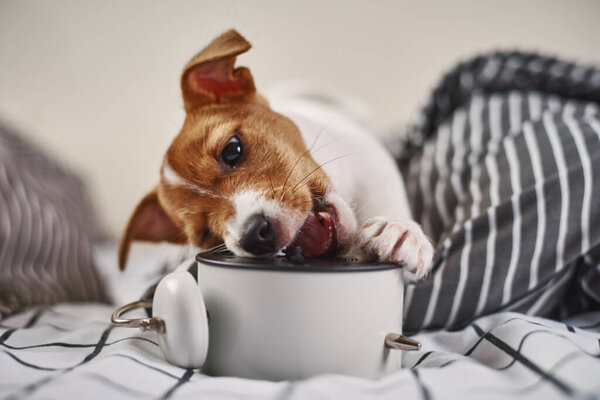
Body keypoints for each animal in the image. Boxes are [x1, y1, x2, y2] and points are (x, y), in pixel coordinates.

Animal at [118, 28, 432, 282]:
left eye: (232, 150)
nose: (253, 236)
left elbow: (390, 199)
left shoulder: (375, 166)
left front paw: (399, 229)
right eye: (205, 234)